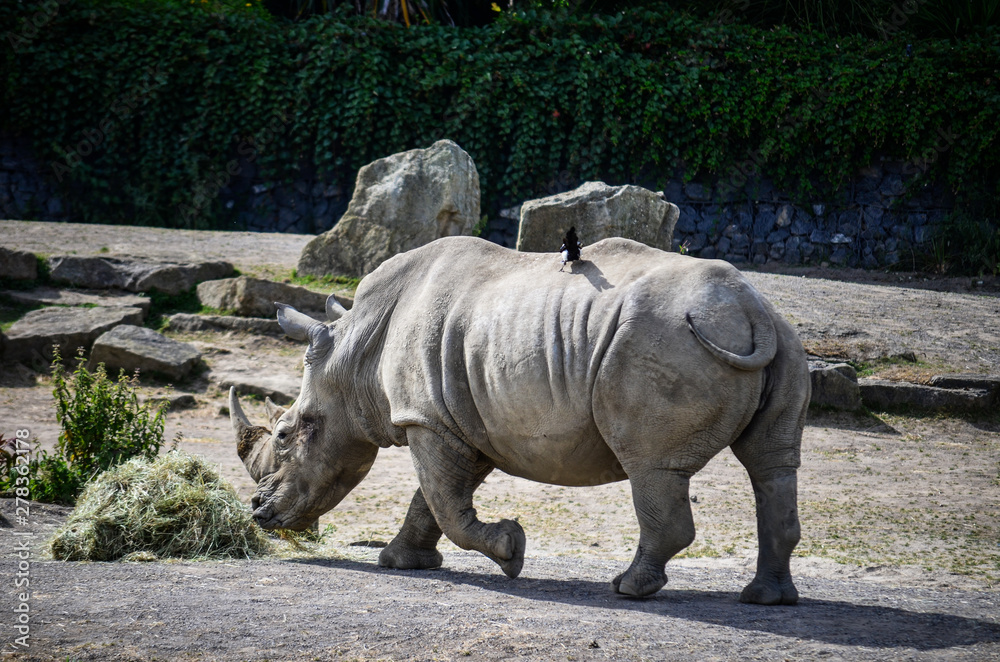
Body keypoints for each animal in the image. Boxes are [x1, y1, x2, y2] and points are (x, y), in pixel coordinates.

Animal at [231, 236, 809, 605]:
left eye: (285, 434)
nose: (258, 512)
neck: (355, 358)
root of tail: (747, 309)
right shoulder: (463, 421)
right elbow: (433, 500)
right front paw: (399, 563)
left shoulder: (427, 420)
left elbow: (445, 502)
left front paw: (511, 551)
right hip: (783, 338)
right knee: (772, 465)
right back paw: (767, 600)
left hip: (663, 342)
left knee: (651, 466)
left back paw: (629, 589)